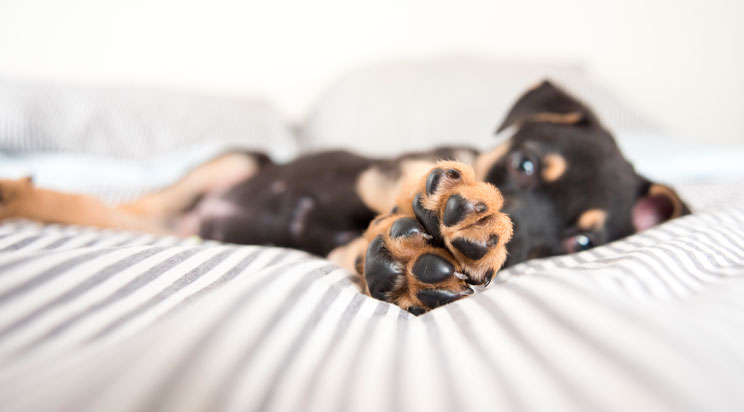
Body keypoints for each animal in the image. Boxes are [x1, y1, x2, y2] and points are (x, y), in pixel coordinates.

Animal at [0, 83, 688, 316]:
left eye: (581, 241)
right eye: (522, 165)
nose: (507, 248)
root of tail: (202, 222)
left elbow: (361, 246)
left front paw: (410, 264)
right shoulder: (395, 165)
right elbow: (401, 180)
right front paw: (448, 212)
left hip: (194, 219)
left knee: (136, 222)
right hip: (235, 161)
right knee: (123, 211)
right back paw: (19, 193)